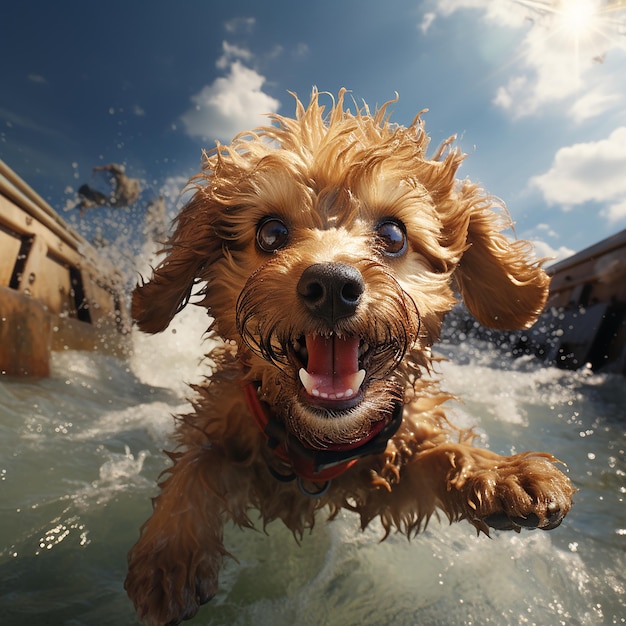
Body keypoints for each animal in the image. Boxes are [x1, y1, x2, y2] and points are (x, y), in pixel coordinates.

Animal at [124, 90, 572, 620]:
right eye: (271, 233)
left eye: (394, 235)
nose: (332, 285)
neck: (319, 447)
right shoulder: (227, 421)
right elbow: (196, 463)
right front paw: (171, 550)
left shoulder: (390, 458)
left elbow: (442, 454)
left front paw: (502, 472)